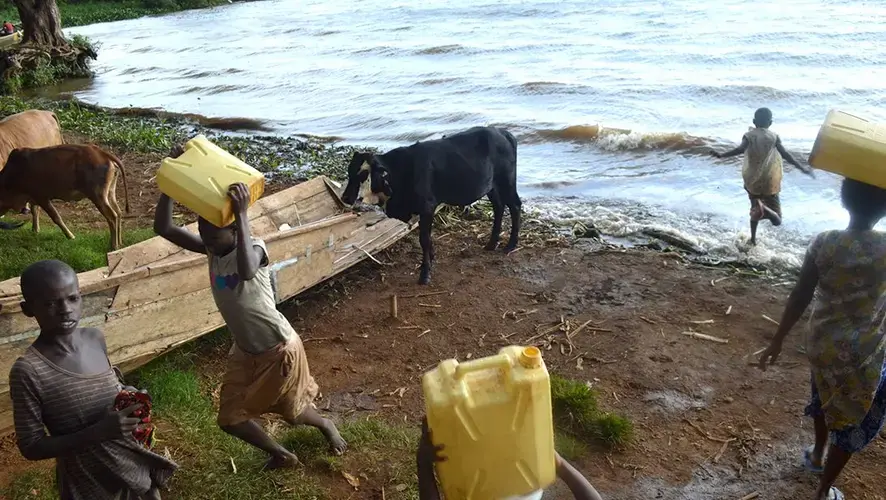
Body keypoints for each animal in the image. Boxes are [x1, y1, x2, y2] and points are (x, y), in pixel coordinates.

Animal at [0, 146, 130, 252]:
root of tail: (102, 153)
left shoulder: (41, 197)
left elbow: (56, 217)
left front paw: (70, 236)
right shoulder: (33, 197)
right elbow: (35, 211)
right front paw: (35, 230)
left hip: (97, 196)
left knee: (112, 216)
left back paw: (113, 246)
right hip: (110, 193)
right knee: (118, 212)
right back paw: (120, 243)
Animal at [340, 125, 520, 286]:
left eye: (363, 174)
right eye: (349, 171)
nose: (346, 197)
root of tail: (503, 132)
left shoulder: (427, 207)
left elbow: (424, 239)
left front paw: (425, 274)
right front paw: (431, 259)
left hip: (507, 182)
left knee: (515, 206)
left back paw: (511, 245)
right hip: (491, 186)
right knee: (499, 207)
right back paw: (491, 244)